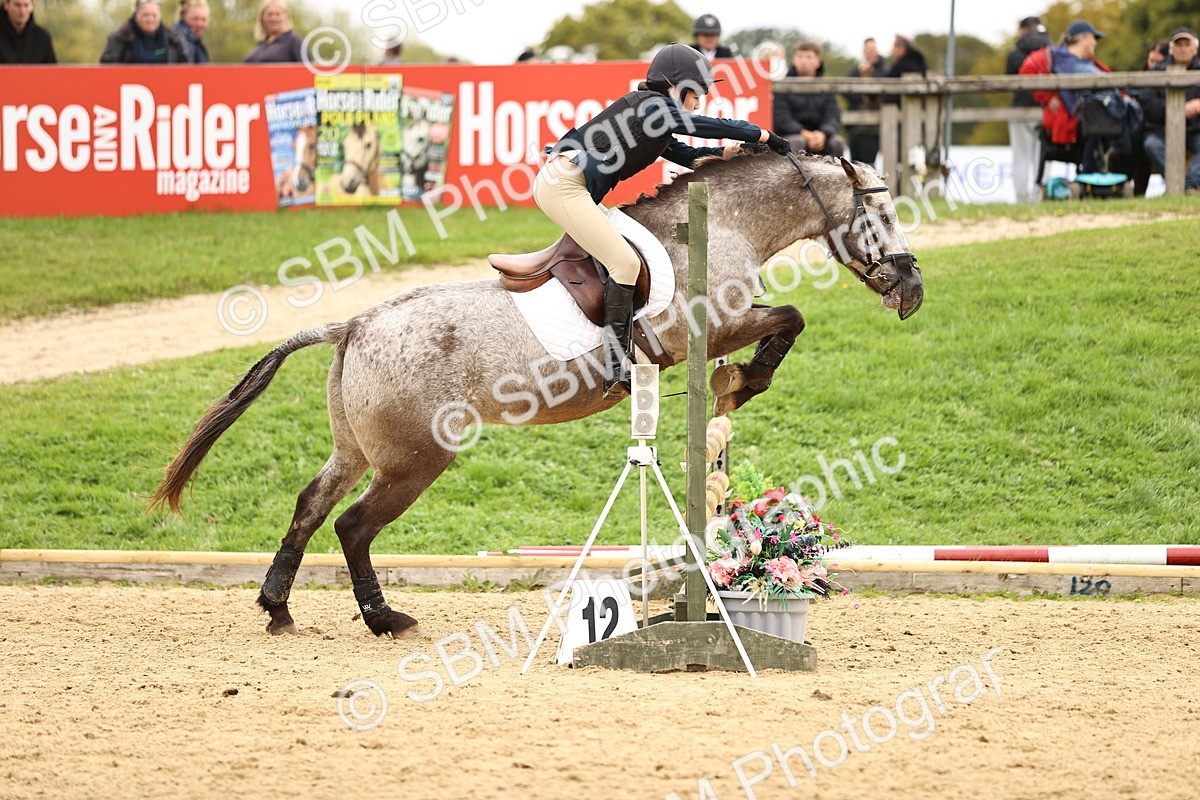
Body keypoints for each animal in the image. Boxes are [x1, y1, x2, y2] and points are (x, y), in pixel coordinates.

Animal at [150, 152, 923, 638]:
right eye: (882, 217)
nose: (912, 290)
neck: (724, 222)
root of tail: (354, 324)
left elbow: (775, 329)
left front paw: (735, 385)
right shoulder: (712, 326)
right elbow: (790, 317)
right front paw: (749, 379)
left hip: (358, 449)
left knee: (311, 506)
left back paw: (277, 607)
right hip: (415, 459)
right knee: (353, 526)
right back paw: (383, 619)